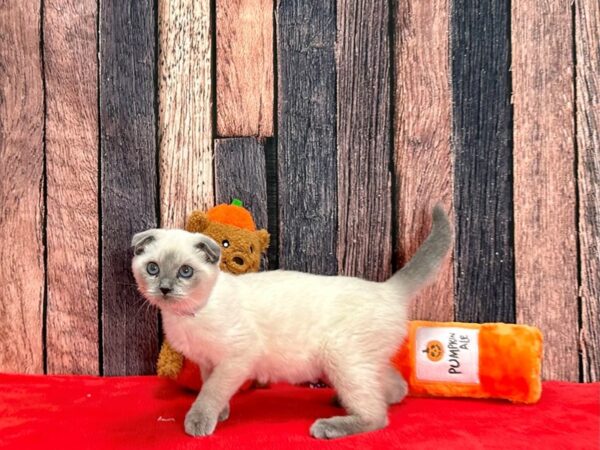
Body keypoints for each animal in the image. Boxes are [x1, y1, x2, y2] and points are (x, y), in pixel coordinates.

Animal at [131, 207, 450, 440]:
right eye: (153, 268)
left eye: (185, 272)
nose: (165, 289)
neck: (188, 314)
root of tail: (388, 289)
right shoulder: (209, 362)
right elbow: (211, 388)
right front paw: (220, 414)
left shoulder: (235, 359)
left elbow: (211, 392)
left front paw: (200, 421)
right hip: (356, 363)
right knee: (395, 386)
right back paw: (348, 401)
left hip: (342, 359)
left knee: (377, 415)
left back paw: (330, 425)